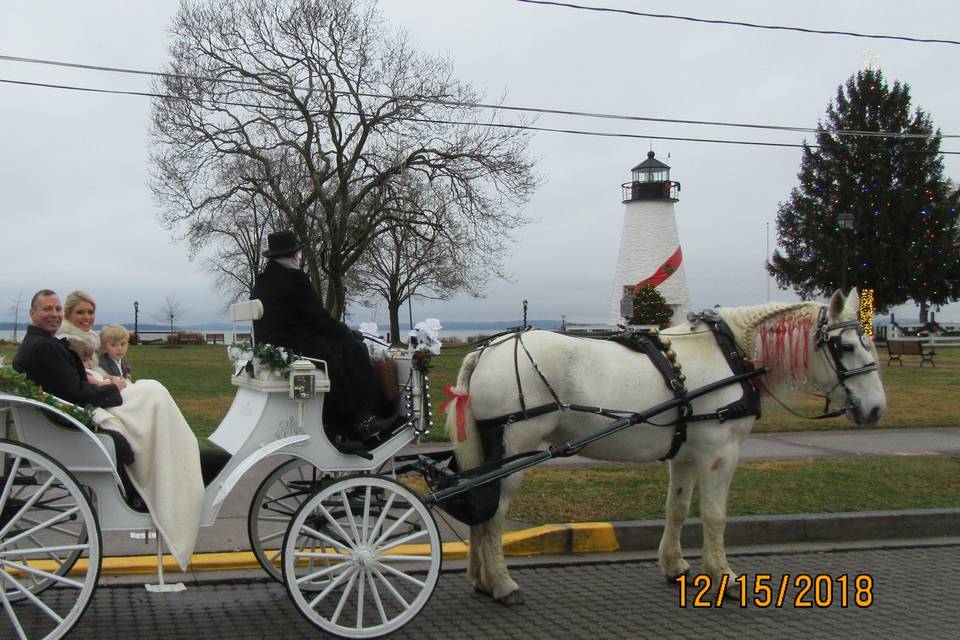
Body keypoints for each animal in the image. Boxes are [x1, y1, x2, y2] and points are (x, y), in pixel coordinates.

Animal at [446, 290, 888, 604]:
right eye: (846, 347)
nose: (876, 409)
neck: (730, 355)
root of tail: (484, 351)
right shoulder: (720, 454)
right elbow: (714, 515)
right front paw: (724, 577)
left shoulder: (688, 455)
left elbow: (677, 508)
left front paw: (675, 565)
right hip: (515, 449)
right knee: (494, 516)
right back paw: (502, 583)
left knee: (479, 508)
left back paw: (481, 579)